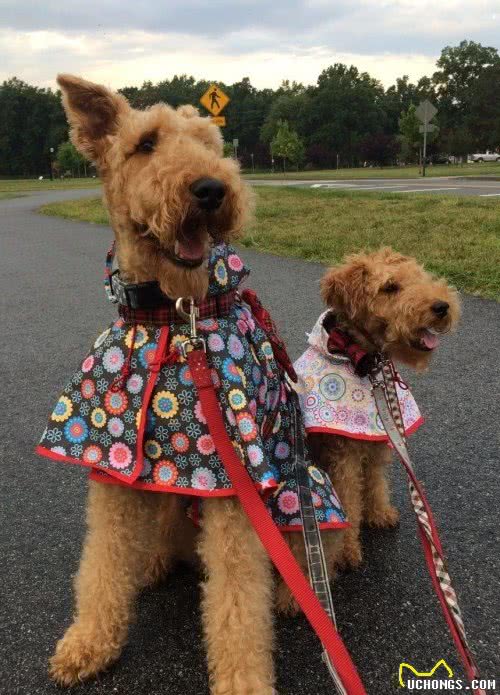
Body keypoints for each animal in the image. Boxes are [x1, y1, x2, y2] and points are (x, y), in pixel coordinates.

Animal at [292, 250, 460, 572]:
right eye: (390, 287)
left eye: (419, 277)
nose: (442, 306)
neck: (365, 364)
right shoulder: (344, 454)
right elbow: (349, 501)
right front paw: (346, 552)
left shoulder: (379, 438)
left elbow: (375, 480)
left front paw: (380, 513)